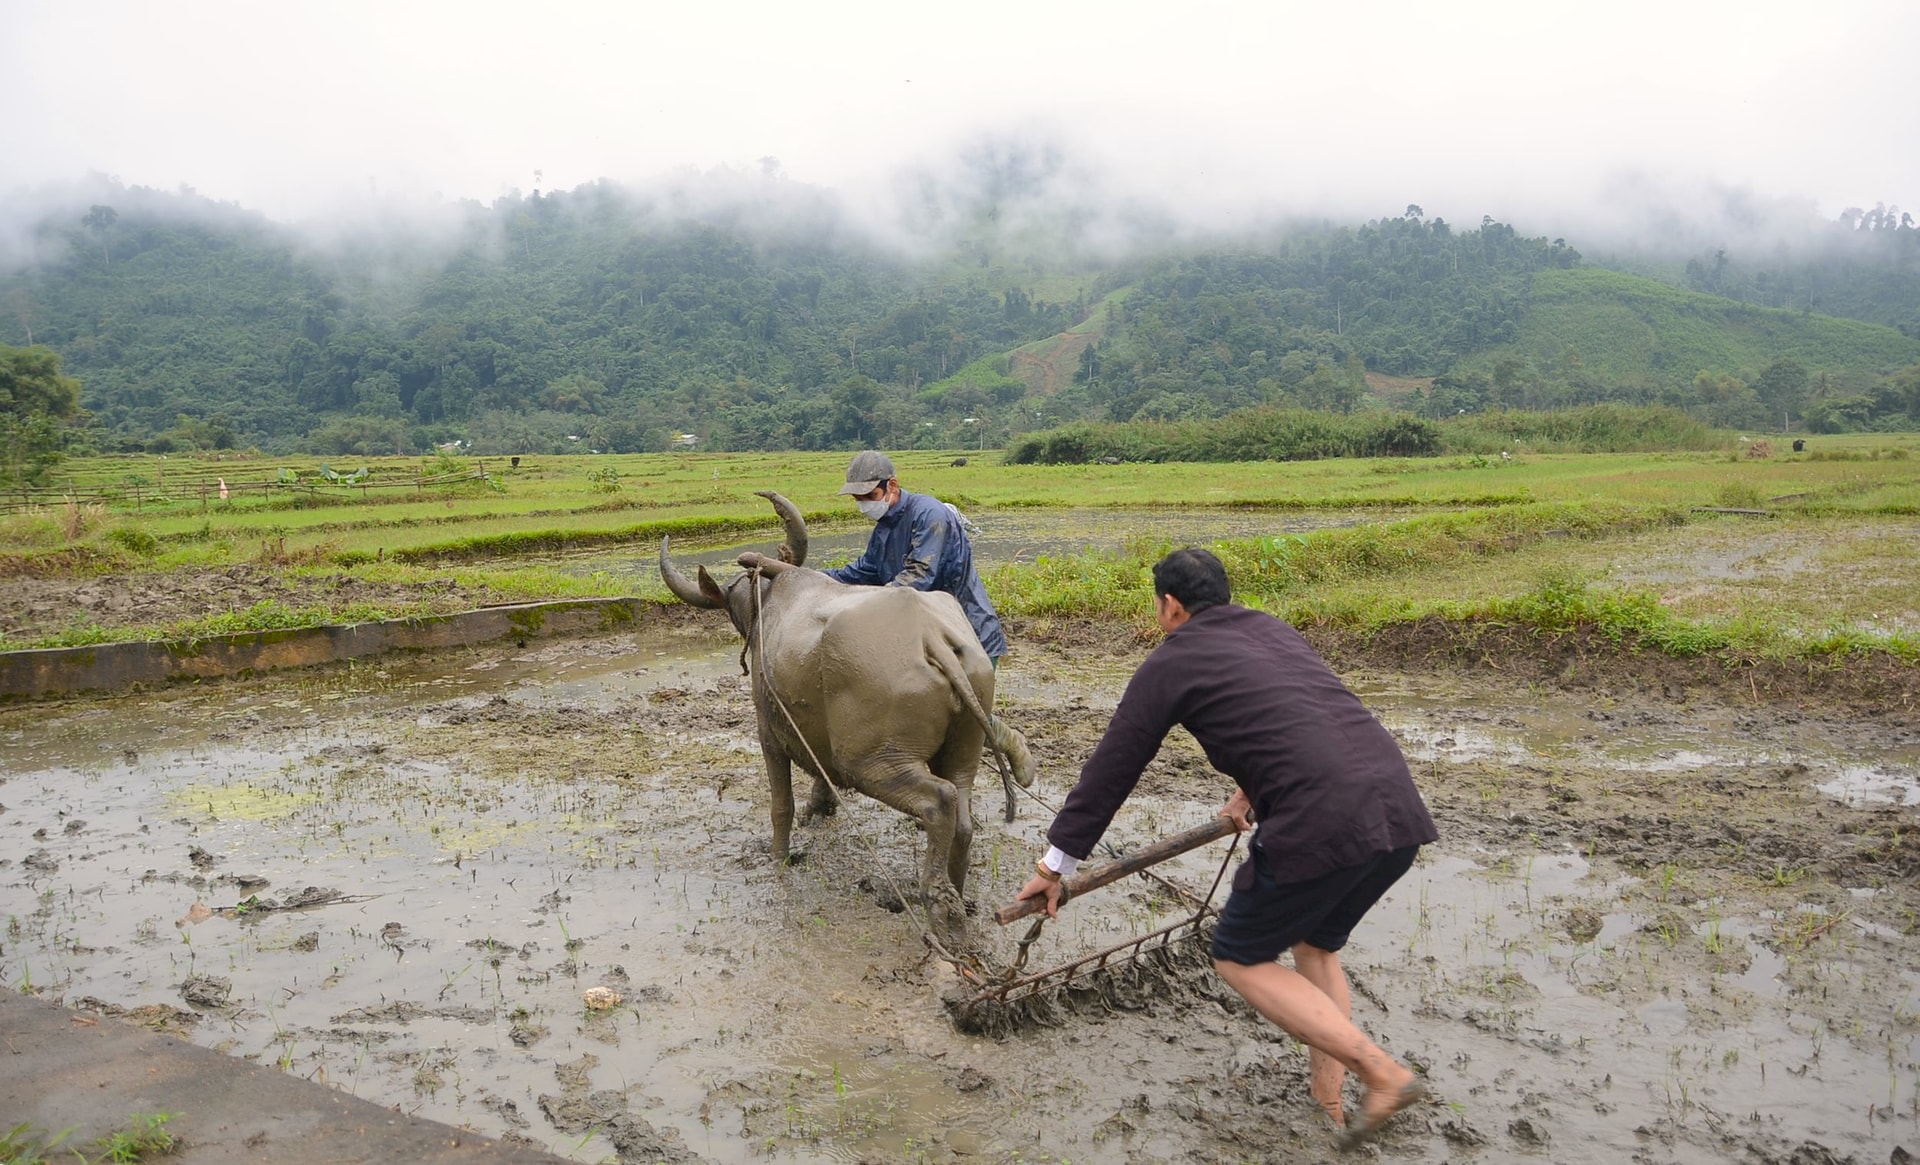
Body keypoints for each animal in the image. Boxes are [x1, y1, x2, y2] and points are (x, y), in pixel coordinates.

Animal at [660, 491, 998, 940]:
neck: (768, 606)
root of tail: (931, 638)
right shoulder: (814, 734)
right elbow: (820, 776)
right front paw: (820, 807)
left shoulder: (770, 734)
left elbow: (780, 805)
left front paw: (779, 857)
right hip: (963, 750)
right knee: (962, 816)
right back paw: (958, 895)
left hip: (874, 761)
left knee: (938, 803)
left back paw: (942, 907)